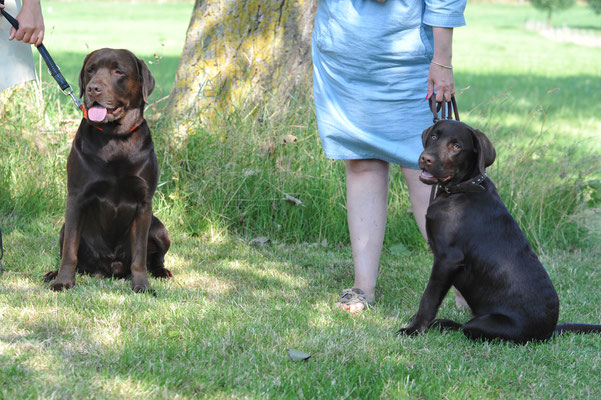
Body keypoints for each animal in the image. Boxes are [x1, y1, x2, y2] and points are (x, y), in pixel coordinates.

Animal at [43, 49, 171, 294]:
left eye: (118, 71)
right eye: (90, 70)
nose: (93, 88)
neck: (115, 137)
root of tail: (110, 269)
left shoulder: (144, 203)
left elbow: (140, 255)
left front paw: (142, 285)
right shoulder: (76, 198)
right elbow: (69, 251)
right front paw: (63, 281)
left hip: (160, 228)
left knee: (156, 258)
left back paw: (161, 272)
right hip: (64, 228)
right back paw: (53, 274)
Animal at [396, 119, 596, 344]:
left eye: (456, 146)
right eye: (434, 137)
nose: (425, 158)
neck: (461, 189)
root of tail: (549, 332)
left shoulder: (446, 259)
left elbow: (429, 297)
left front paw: (414, 329)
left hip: (486, 324)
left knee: (467, 328)